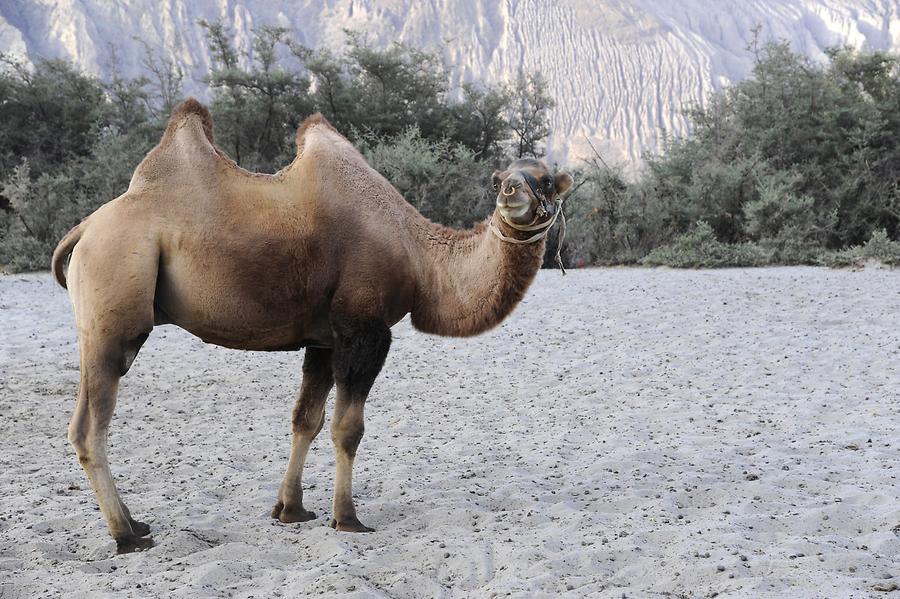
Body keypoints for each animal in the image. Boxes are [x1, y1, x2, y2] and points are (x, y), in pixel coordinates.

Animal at [54, 98, 576, 552]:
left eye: (546, 181)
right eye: (499, 178)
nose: (511, 193)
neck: (417, 254)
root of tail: (83, 230)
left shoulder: (325, 338)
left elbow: (306, 418)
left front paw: (291, 509)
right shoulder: (364, 329)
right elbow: (348, 427)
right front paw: (347, 517)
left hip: (96, 325)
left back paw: (136, 524)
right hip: (114, 313)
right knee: (89, 426)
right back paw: (127, 535)